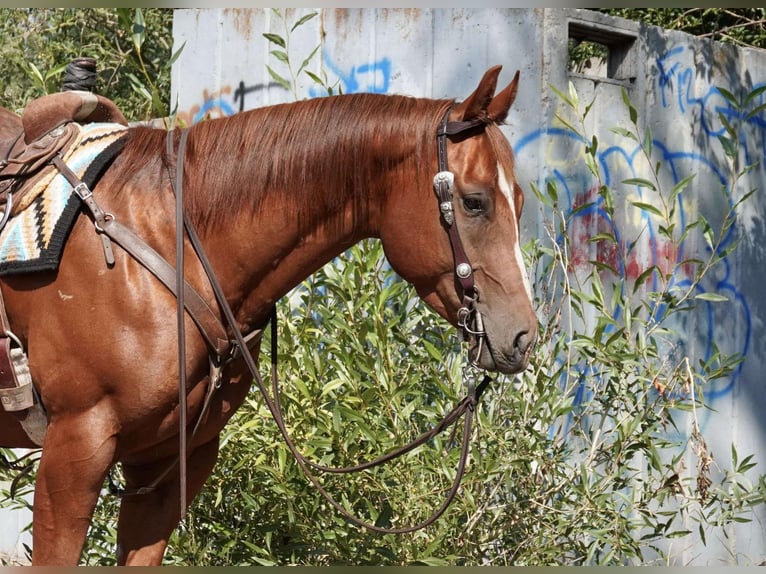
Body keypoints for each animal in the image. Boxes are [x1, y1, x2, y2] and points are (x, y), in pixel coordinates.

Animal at [0, 65, 536, 564]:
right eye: (474, 202)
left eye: (520, 202)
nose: (523, 337)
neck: (171, 243)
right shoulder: (75, 450)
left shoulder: (169, 462)